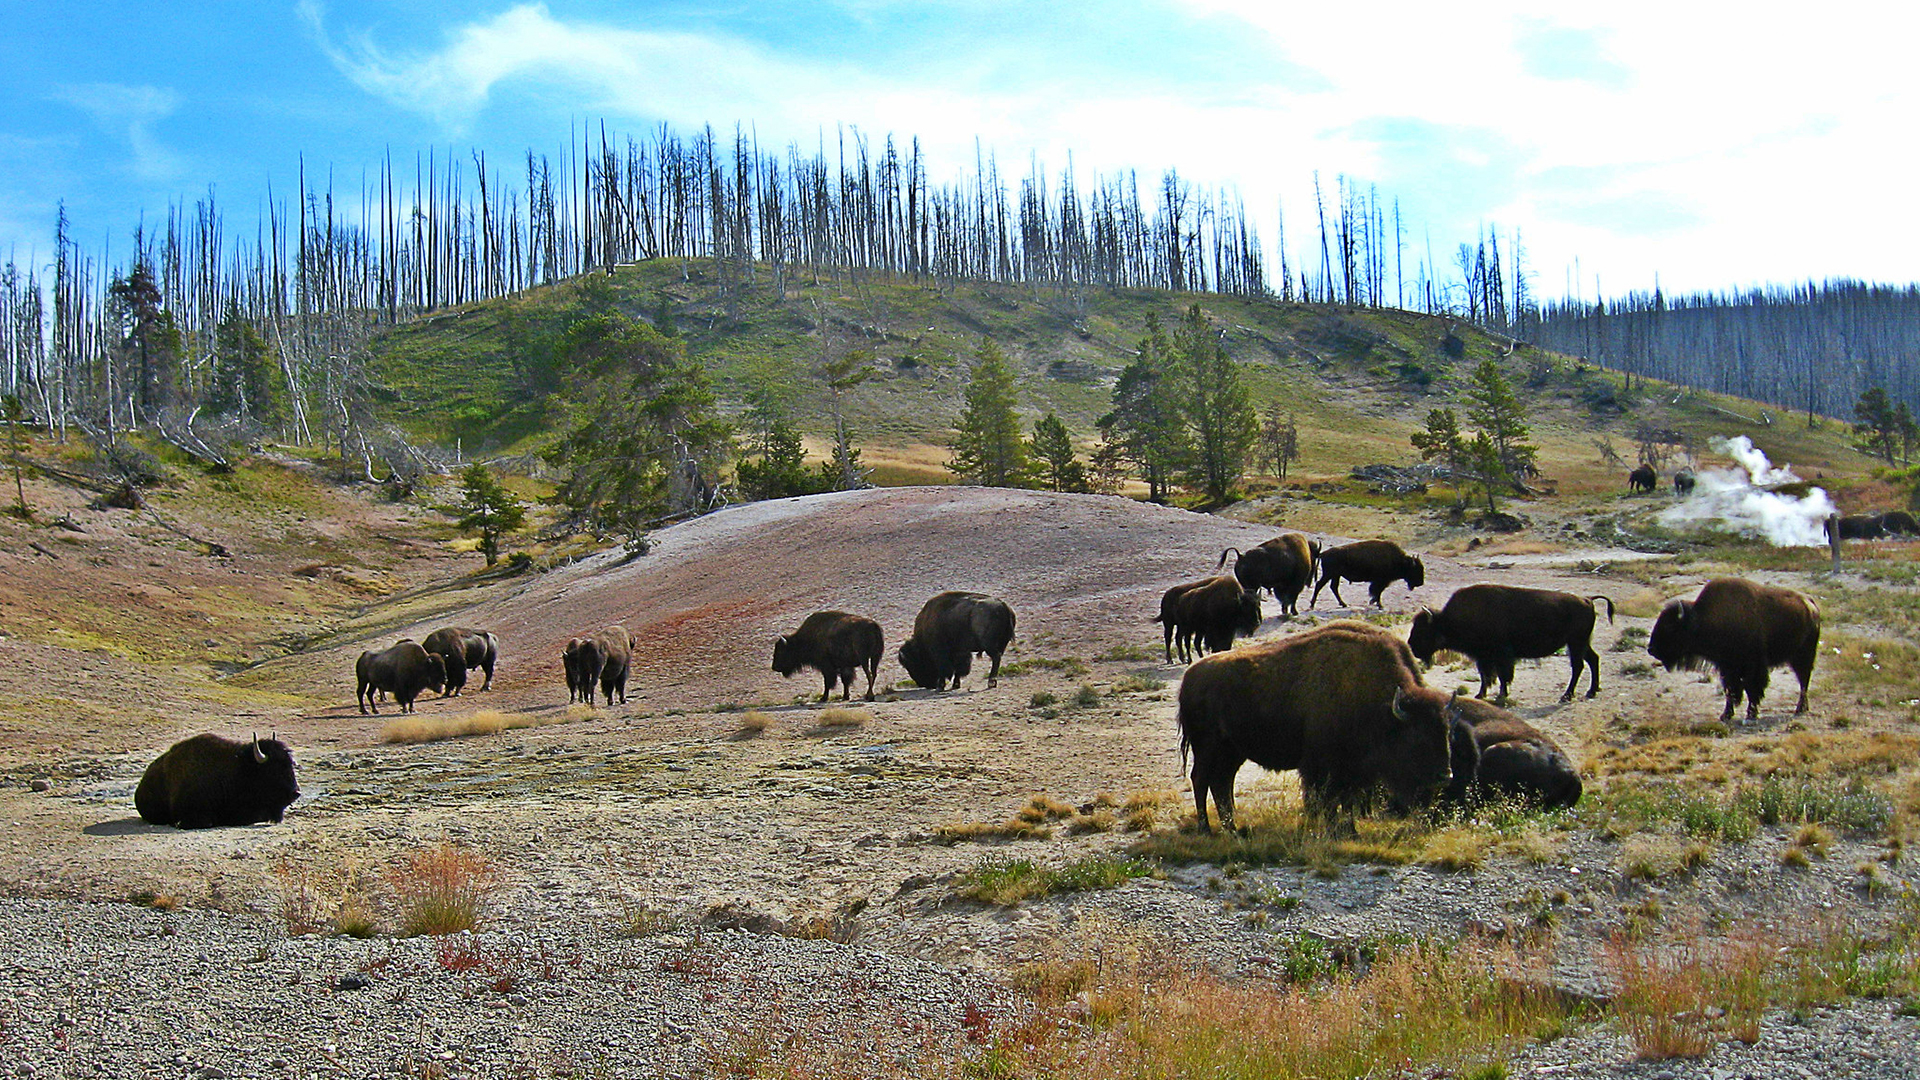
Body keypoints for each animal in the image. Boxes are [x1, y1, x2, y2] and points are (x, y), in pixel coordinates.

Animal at [1175, 618, 1459, 826]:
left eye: (1447, 733)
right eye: (1417, 737)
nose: (1445, 776)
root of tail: (1188, 680)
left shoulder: (1350, 771)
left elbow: (1345, 801)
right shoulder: (1322, 767)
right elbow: (1325, 800)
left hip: (1233, 752)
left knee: (1222, 783)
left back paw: (1233, 828)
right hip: (1208, 748)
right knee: (1201, 780)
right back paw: (1207, 828)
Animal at [1405, 584, 1612, 703]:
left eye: (1423, 630)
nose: (1412, 646)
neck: (1449, 620)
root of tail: (1587, 599)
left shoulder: (1501, 655)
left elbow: (1502, 676)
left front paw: (1501, 695)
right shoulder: (1484, 657)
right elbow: (1486, 676)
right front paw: (1480, 695)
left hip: (1575, 643)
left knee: (1578, 666)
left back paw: (1567, 696)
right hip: (1581, 643)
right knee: (1593, 659)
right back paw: (1591, 691)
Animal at [1643, 576, 1820, 718]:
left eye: (1669, 627)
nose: (1651, 649)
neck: (1703, 618)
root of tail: (1811, 604)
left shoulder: (1751, 667)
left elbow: (1751, 689)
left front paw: (1750, 713)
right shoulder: (1727, 667)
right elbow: (1730, 690)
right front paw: (1726, 715)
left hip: (1803, 656)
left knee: (1804, 681)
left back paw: (1800, 709)